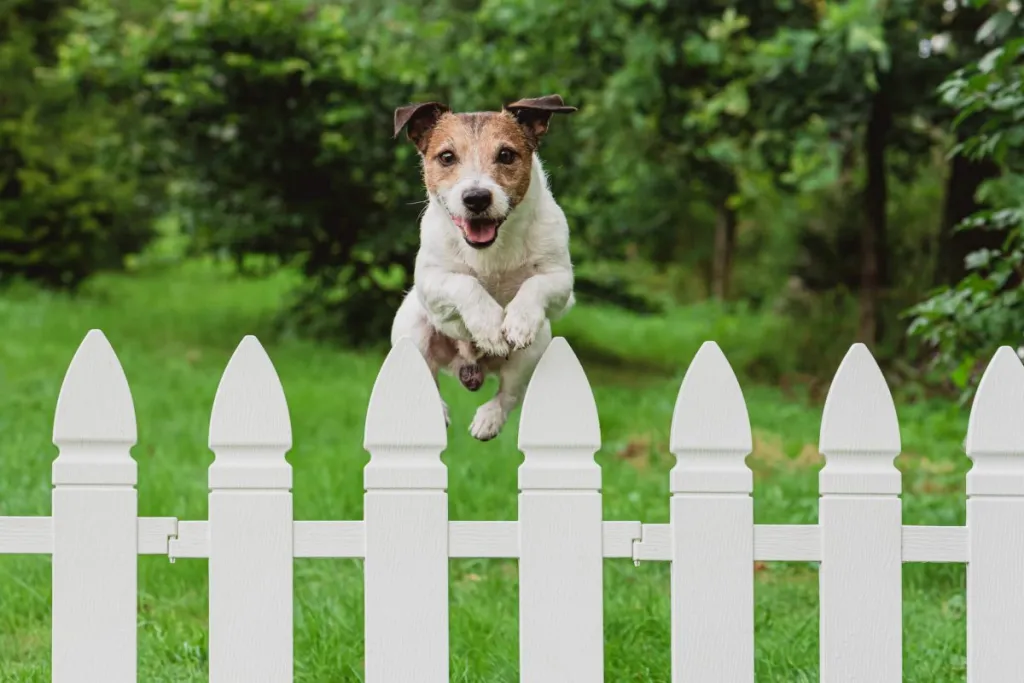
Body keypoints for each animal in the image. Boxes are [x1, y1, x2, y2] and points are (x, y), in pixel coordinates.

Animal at [389, 93, 577, 440]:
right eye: (447, 157)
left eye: (506, 155)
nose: (476, 198)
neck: (492, 250)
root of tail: (470, 369)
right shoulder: (431, 282)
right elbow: (465, 283)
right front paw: (489, 326)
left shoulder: (561, 282)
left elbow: (535, 284)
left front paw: (517, 320)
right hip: (413, 333)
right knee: (427, 379)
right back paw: (438, 411)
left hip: (534, 349)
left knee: (510, 393)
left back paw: (489, 418)